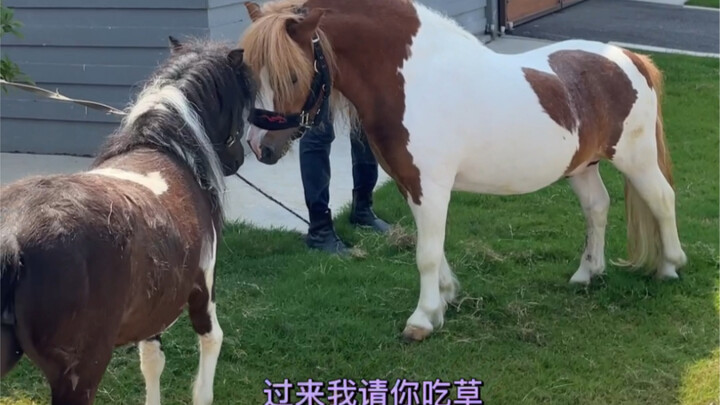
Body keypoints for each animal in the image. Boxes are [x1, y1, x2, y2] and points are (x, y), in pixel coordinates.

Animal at [0, 37, 254, 404]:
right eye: (242, 104)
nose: (238, 160)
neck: (168, 150)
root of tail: (11, 239)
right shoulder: (202, 291)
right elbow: (209, 349)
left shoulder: (153, 308)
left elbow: (151, 361)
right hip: (79, 376)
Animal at [238, 0, 687, 342]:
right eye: (250, 74)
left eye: (292, 75)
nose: (260, 147)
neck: (414, 79)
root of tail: (631, 58)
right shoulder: (411, 184)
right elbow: (432, 248)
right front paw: (445, 298)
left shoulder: (431, 186)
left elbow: (425, 254)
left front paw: (422, 320)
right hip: (582, 166)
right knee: (597, 207)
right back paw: (587, 273)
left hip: (636, 158)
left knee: (662, 199)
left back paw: (670, 266)